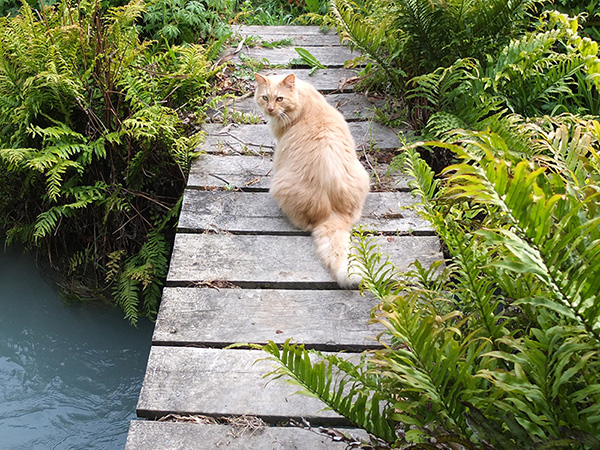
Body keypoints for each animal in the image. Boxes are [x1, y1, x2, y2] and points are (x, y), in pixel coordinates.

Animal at [254, 71, 370, 286]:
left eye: (279, 99)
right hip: (363, 175)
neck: (302, 103)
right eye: (265, 98)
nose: (270, 109)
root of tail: (332, 212)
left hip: (279, 185)